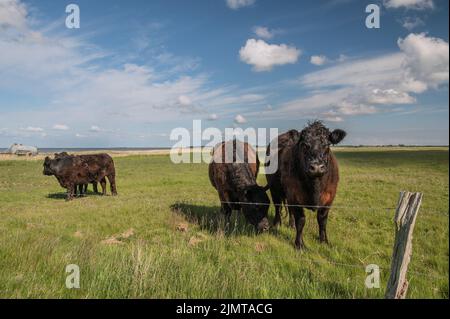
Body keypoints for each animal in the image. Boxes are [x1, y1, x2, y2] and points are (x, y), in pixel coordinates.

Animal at [266, 121, 346, 249]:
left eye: (327, 145)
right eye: (304, 145)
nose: (317, 167)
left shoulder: (329, 198)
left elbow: (322, 220)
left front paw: (324, 241)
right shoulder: (295, 196)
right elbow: (301, 220)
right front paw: (299, 244)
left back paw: (291, 225)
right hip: (274, 189)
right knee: (278, 207)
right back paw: (277, 224)